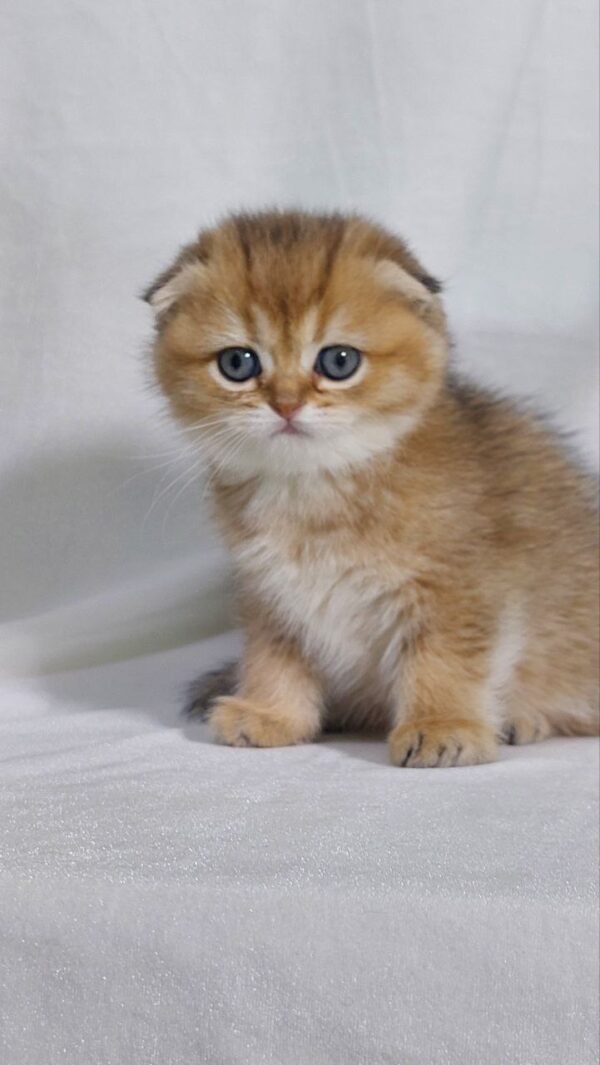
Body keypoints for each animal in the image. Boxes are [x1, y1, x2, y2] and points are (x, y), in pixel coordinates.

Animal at [147, 211, 600, 771]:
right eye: (238, 363)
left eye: (339, 361)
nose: (286, 404)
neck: (313, 495)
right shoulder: (271, 595)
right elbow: (274, 658)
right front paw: (273, 714)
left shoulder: (457, 589)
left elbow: (444, 660)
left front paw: (441, 726)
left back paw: (523, 718)